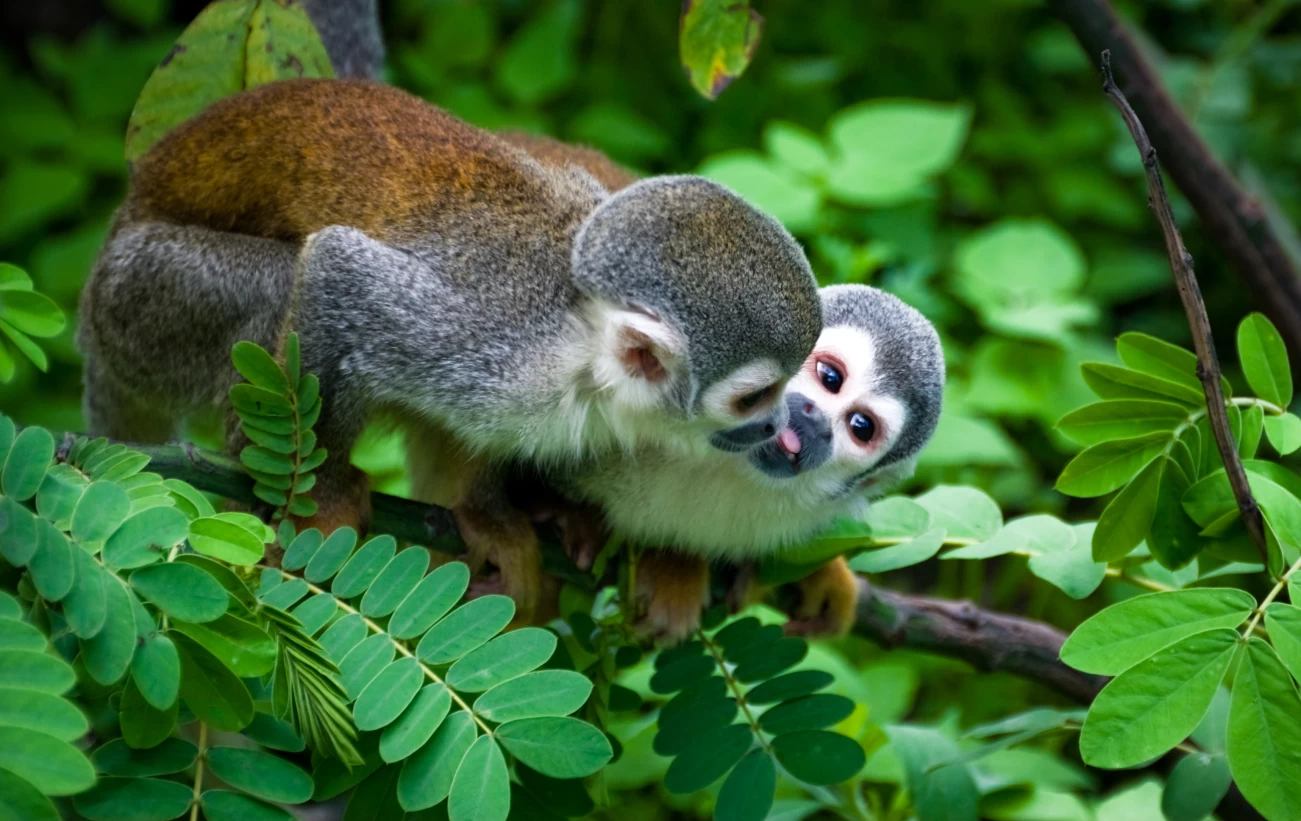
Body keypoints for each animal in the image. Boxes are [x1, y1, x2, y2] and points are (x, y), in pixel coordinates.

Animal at [77, 79, 823, 623]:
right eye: (755, 396)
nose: (778, 426)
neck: (578, 345)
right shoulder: (495, 346)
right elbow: (338, 268)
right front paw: (319, 497)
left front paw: (491, 513)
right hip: (146, 297)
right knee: (278, 282)